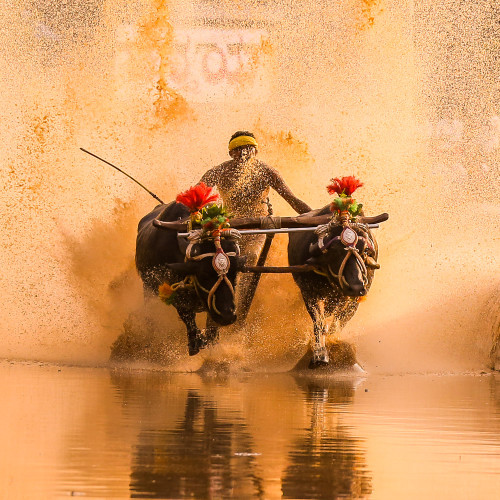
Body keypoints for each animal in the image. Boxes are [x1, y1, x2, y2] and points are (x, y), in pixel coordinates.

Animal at [137, 202, 246, 356]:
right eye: (204, 274)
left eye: (234, 273)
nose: (227, 316)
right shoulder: (177, 298)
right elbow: (188, 318)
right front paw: (196, 342)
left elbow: (211, 326)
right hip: (147, 287)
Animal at [288, 206, 388, 368]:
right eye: (334, 252)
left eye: (365, 250)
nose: (356, 286)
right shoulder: (308, 293)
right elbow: (318, 323)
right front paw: (320, 354)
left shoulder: (355, 301)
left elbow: (339, 322)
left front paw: (333, 342)